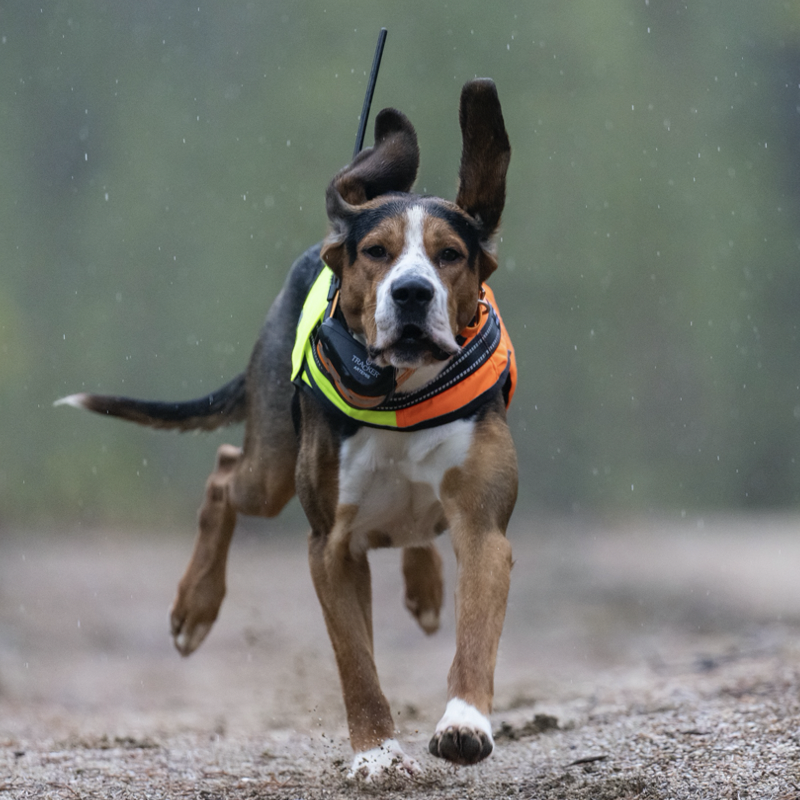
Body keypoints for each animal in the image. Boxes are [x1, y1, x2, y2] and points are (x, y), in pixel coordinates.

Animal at [57, 76, 520, 780]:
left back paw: (424, 585)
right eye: (376, 253)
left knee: (416, 529)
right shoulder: (330, 546)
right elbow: (356, 664)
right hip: (272, 468)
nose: (412, 293)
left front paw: (463, 723)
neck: (402, 396)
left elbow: (478, 630)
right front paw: (377, 754)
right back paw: (195, 607)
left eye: (450, 255)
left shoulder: (483, 524)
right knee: (226, 473)